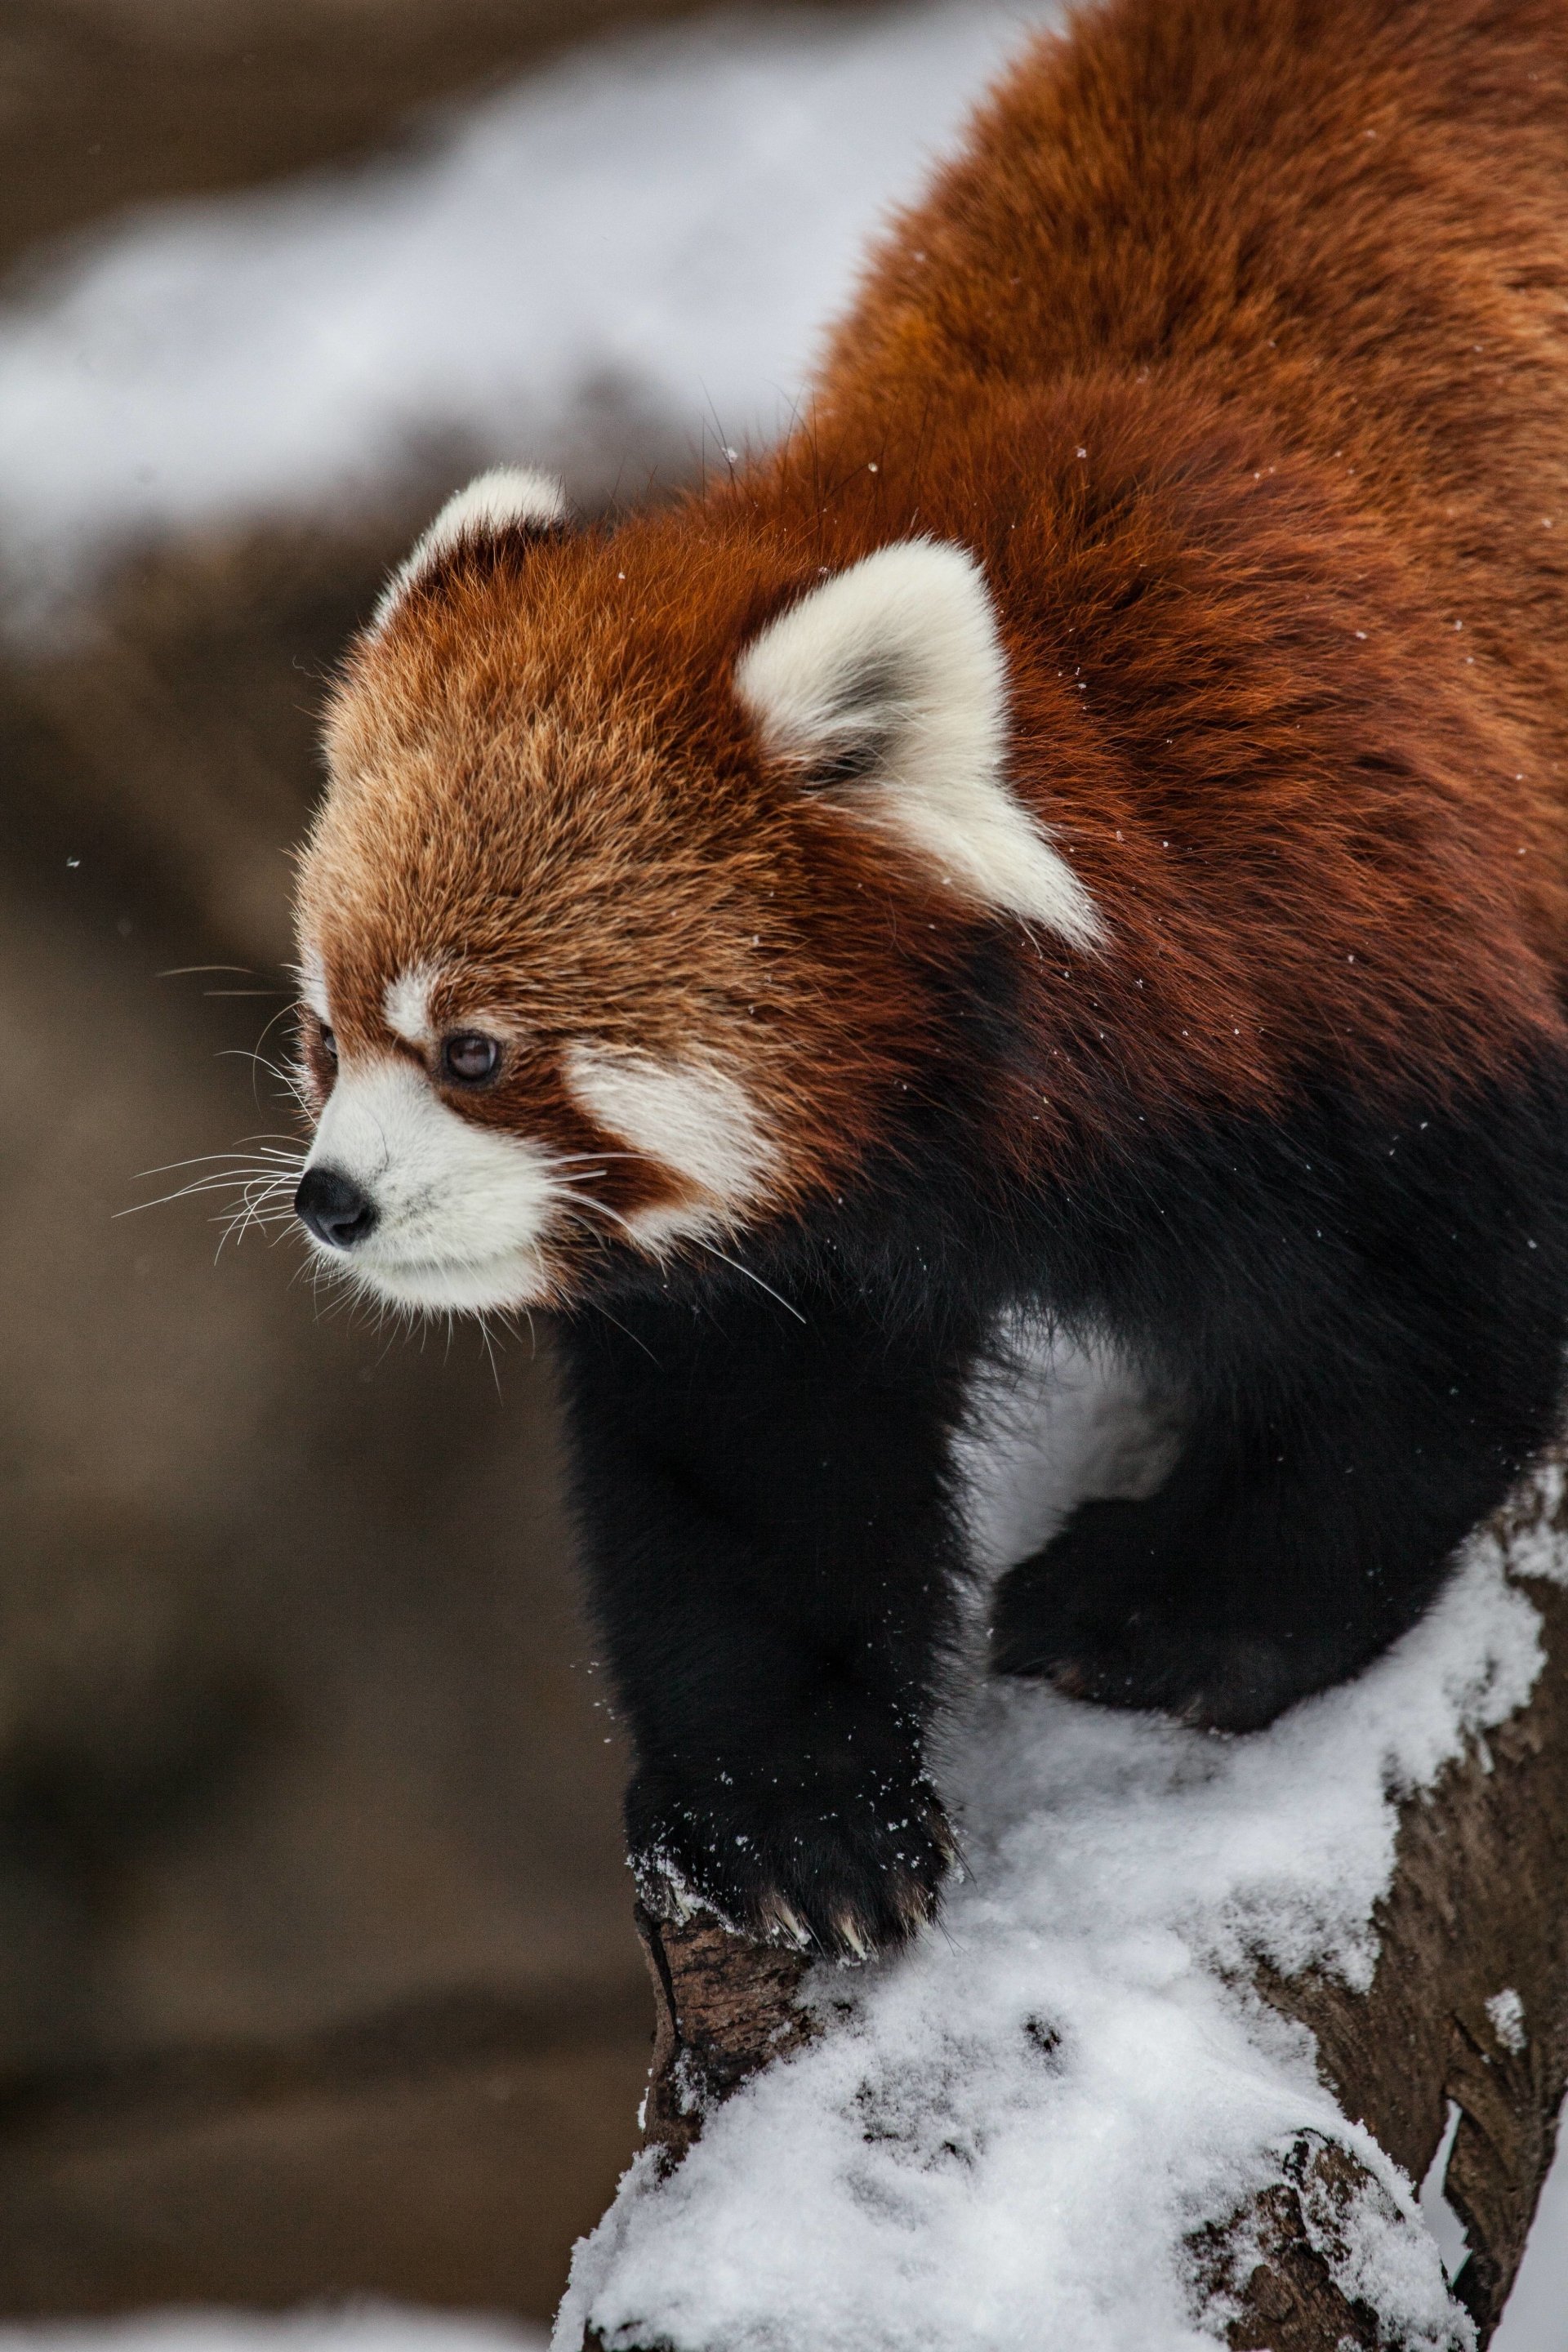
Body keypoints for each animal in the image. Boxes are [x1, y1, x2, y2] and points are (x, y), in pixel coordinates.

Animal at [288, 0, 1568, 1958]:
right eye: (321, 1036)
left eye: (479, 1049)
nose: (332, 1200)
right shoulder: (787, 1263)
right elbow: (758, 1475)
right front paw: (789, 1814)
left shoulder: (1397, 961)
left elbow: (1425, 1357)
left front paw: (1184, 1614)